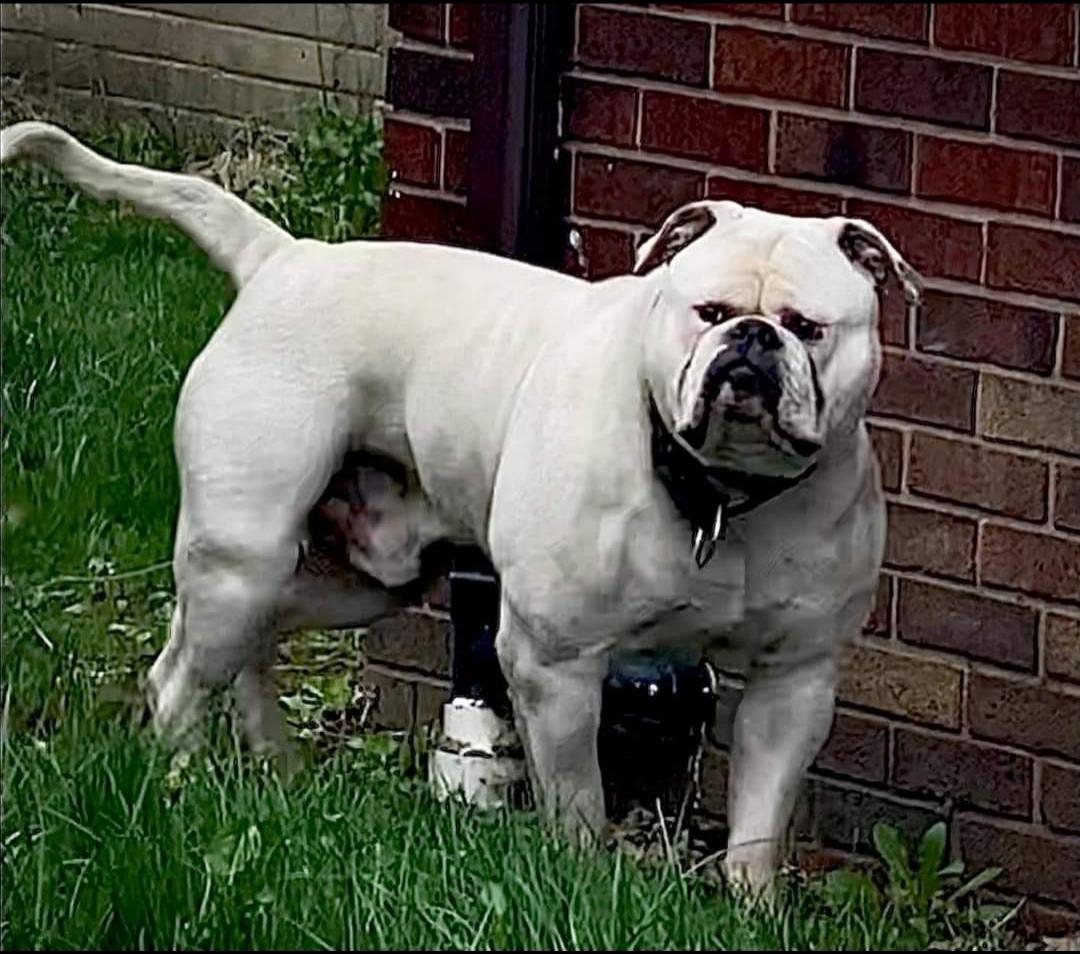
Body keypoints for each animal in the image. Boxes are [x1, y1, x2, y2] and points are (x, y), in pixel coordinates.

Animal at [1, 121, 920, 891]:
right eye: (711, 313)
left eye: (808, 327)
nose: (752, 342)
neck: (718, 493)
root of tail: (284, 258)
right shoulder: (553, 659)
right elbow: (577, 798)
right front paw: (583, 882)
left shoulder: (794, 685)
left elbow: (758, 827)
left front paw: (750, 908)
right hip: (244, 551)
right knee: (180, 677)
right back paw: (179, 782)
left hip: (359, 578)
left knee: (246, 647)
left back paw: (277, 772)